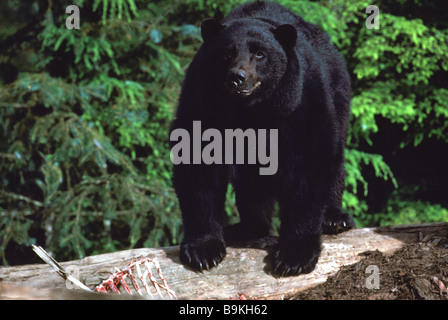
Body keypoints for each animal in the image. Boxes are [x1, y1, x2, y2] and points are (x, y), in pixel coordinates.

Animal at [169, 0, 354, 276]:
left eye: (259, 54)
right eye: (227, 53)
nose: (237, 77)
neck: (250, 110)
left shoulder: (299, 102)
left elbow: (308, 166)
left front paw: (294, 255)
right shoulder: (202, 101)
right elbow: (197, 163)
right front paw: (203, 250)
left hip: (338, 92)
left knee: (335, 154)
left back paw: (333, 217)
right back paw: (244, 228)